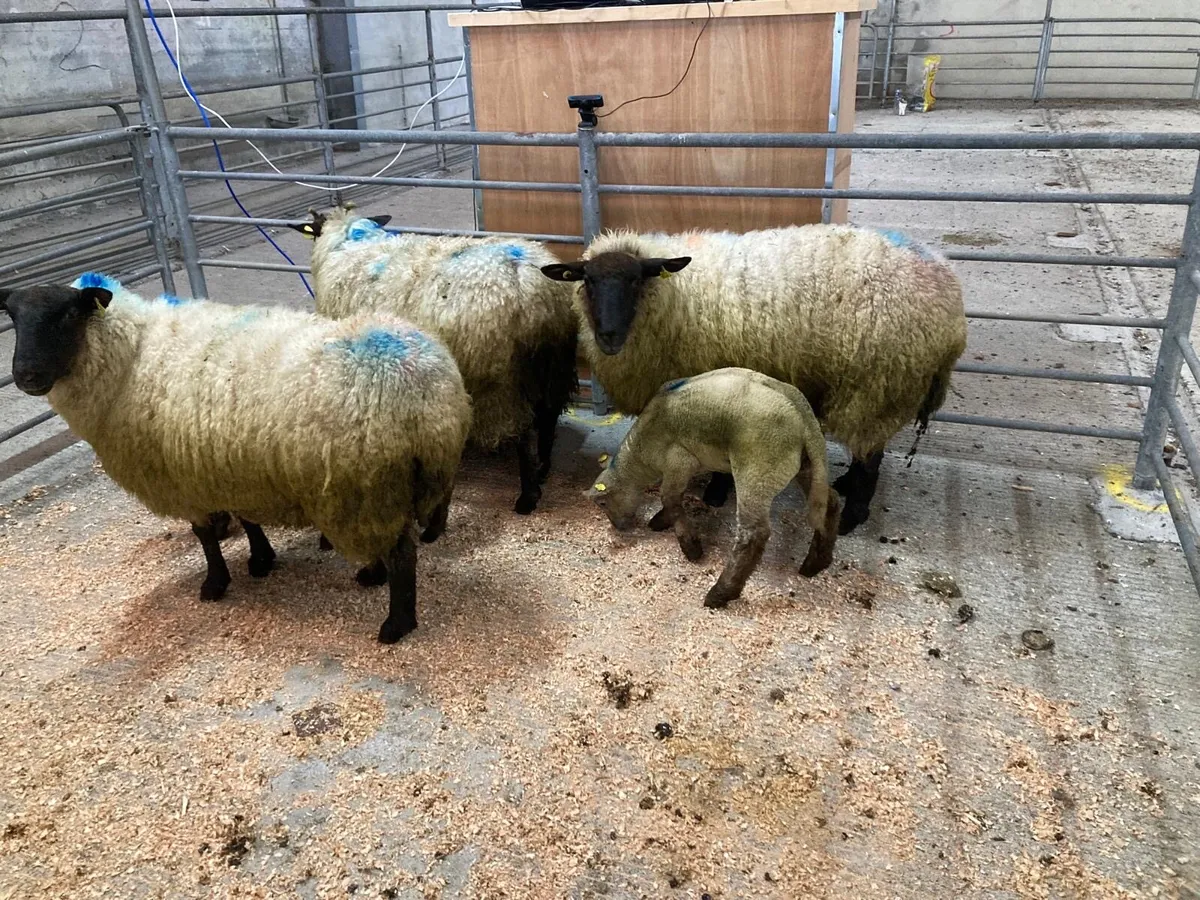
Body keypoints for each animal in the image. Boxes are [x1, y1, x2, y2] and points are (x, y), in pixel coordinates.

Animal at [0, 273, 472, 644]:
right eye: (13, 317)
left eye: (67, 315)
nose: (25, 376)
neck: (131, 357)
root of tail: (431, 390)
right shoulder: (230, 463)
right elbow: (247, 519)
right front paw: (261, 560)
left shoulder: (184, 478)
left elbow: (205, 535)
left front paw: (215, 583)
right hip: (376, 487)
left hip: (369, 486)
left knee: (401, 554)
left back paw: (394, 622)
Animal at [289, 206, 578, 516]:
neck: (351, 241)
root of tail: (531, 282)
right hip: (555, 362)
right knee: (549, 416)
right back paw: (543, 469)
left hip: (505, 377)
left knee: (524, 432)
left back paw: (527, 496)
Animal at [540, 225, 968, 535]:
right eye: (588, 282)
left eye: (635, 280)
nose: (608, 336)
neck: (675, 294)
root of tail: (948, 285)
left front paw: (716, 493)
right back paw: (846, 485)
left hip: (878, 386)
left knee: (871, 456)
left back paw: (852, 515)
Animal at [586, 367, 840, 609]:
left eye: (602, 502)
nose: (618, 527)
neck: (640, 457)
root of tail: (805, 418)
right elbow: (674, 499)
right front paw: (660, 521)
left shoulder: (679, 460)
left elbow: (669, 498)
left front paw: (691, 548)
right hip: (806, 466)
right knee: (831, 502)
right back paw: (816, 563)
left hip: (757, 470)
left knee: (753, 533)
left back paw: (721, 593)